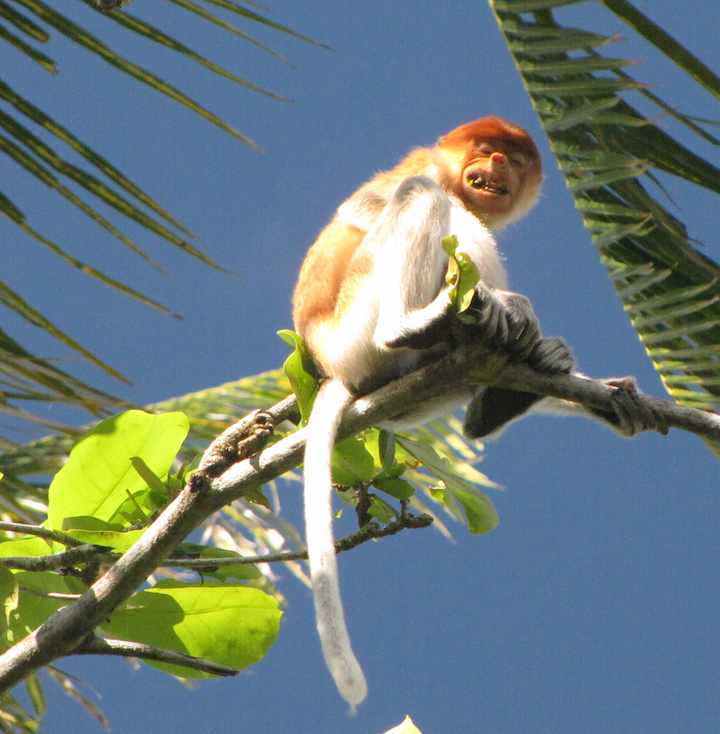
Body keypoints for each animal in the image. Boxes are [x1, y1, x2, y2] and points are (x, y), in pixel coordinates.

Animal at [292, 117, 664, 707]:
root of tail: (331, 367)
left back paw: (498, 393)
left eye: (515, 158)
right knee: (423, 200)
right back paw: (420, 324)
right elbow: (368, 206)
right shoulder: (420, 164)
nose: (498, 165)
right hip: (358, 327)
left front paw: (608, 393)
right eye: (487, 149)